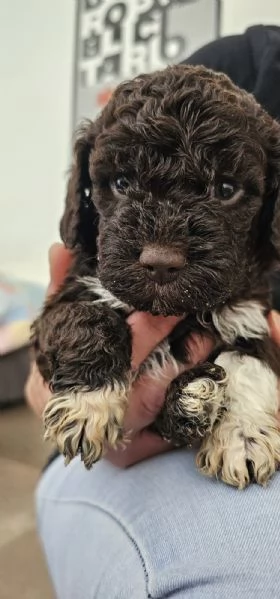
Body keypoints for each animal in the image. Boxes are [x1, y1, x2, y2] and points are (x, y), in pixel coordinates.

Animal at [31, 64, 280, 488]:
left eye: (226, 189)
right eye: (121, 183)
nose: (161, 261)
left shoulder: (249, 313)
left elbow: (251, 363)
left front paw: (243, 436)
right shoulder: (71, 292)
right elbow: (85, 318)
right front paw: (89, 402)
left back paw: (193, 399)